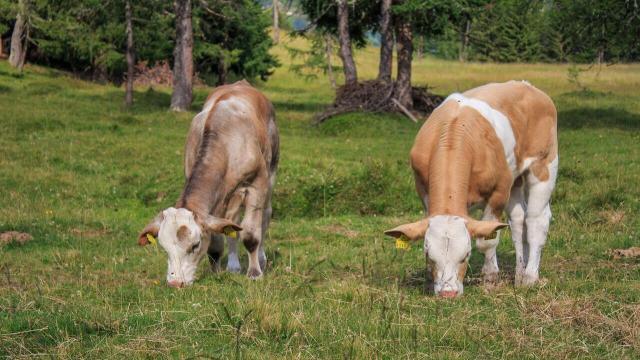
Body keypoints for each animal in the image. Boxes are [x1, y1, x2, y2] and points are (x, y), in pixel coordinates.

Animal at [138, 80, 278, 288]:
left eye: (195, 245)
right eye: (164, 247)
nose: (175, 283)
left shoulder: (257, 184)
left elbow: (251, 234)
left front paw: (254, 273)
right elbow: (218, 239)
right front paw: (215, 272)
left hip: (271, 172)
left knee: (265, 215)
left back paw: (261, 259)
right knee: (233, 223)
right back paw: (234, 265)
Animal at [382, 81, 556, 298]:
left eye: (465, 256)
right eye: (429, 255)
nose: (448, 293)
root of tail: (526, 85)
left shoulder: (499, 191)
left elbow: (488, 240)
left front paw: (490, 278)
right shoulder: (423, 190)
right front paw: (430, 283)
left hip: (544, 164)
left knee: (536, 220)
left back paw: (530, 277)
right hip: (514, 178)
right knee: (518, 220)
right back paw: (519, 275)